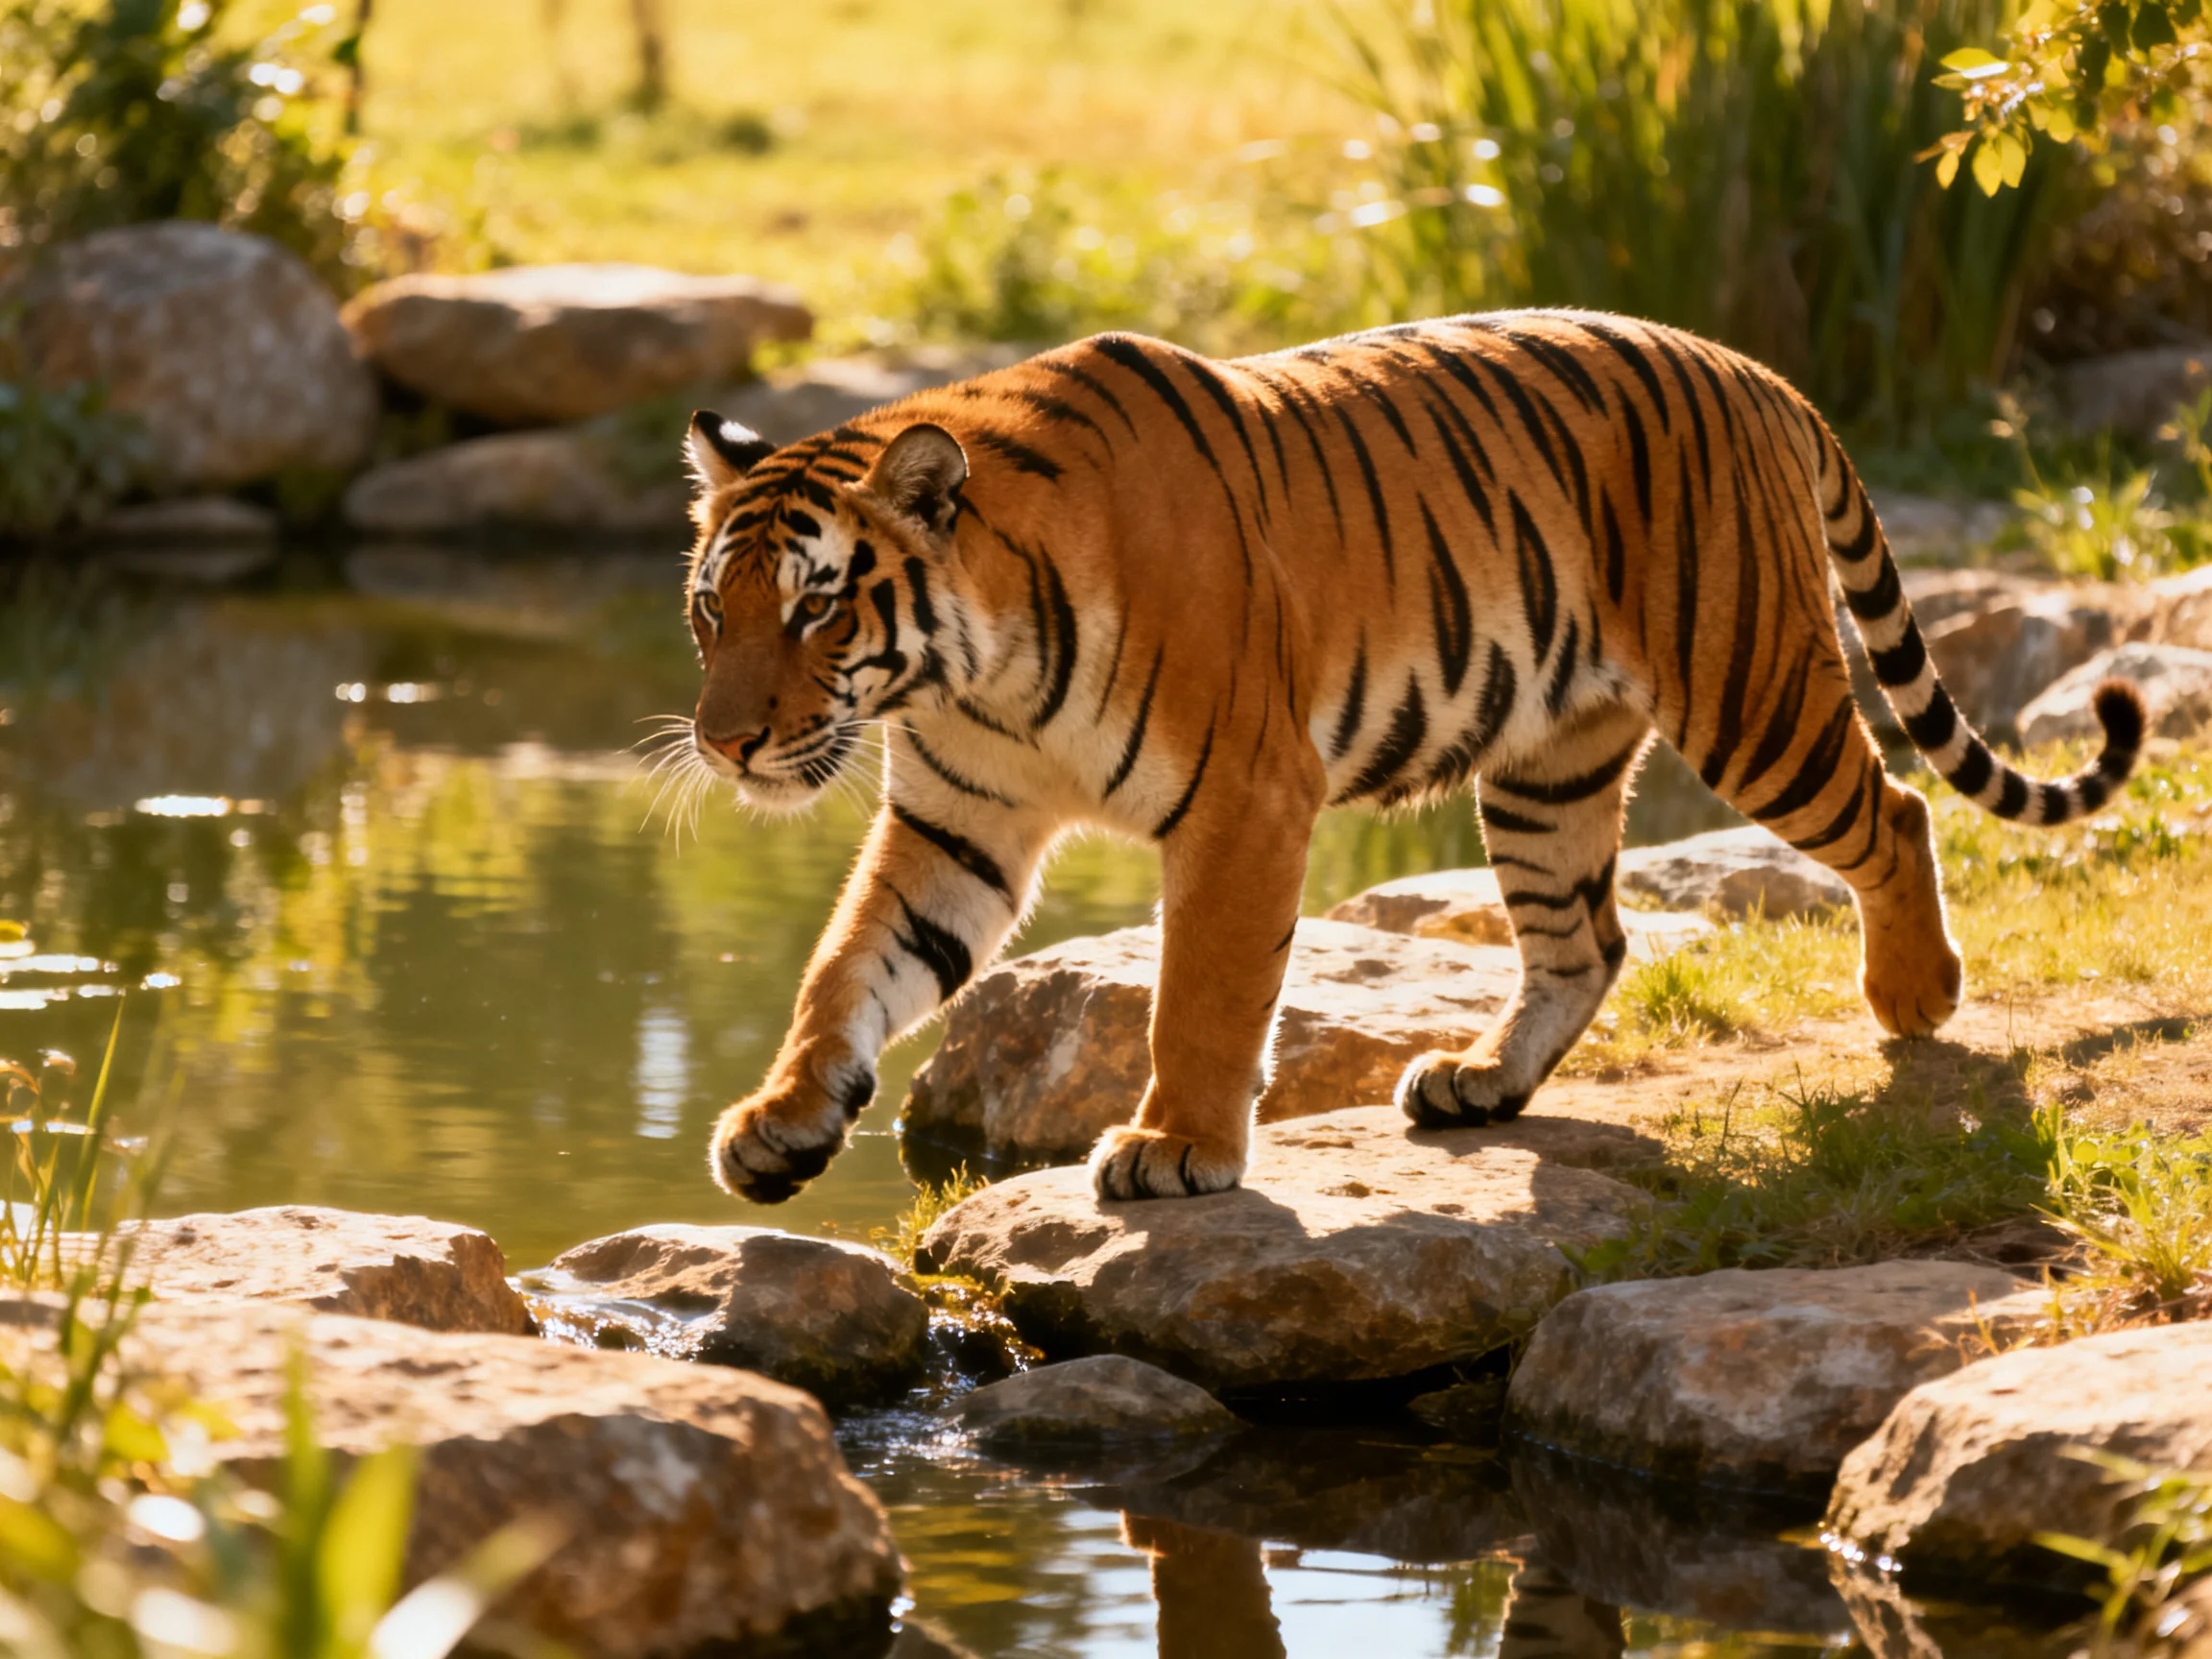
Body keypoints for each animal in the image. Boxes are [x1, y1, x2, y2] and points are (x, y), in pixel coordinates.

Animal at [674, 310, 2143, 1205]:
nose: (724, 742)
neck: (976, 670)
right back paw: (1480, 1080)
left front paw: (1176, 1147)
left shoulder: (1244, 800)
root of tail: (1759, 373)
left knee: (1894, 809)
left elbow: (1202, 992)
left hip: (1753, 697)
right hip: (1546, 765)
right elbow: (848, 967)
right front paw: (781, 1123)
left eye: (815, 607)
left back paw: (1915, 996)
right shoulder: (957, 821)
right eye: (710, 611)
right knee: (1587, 939)